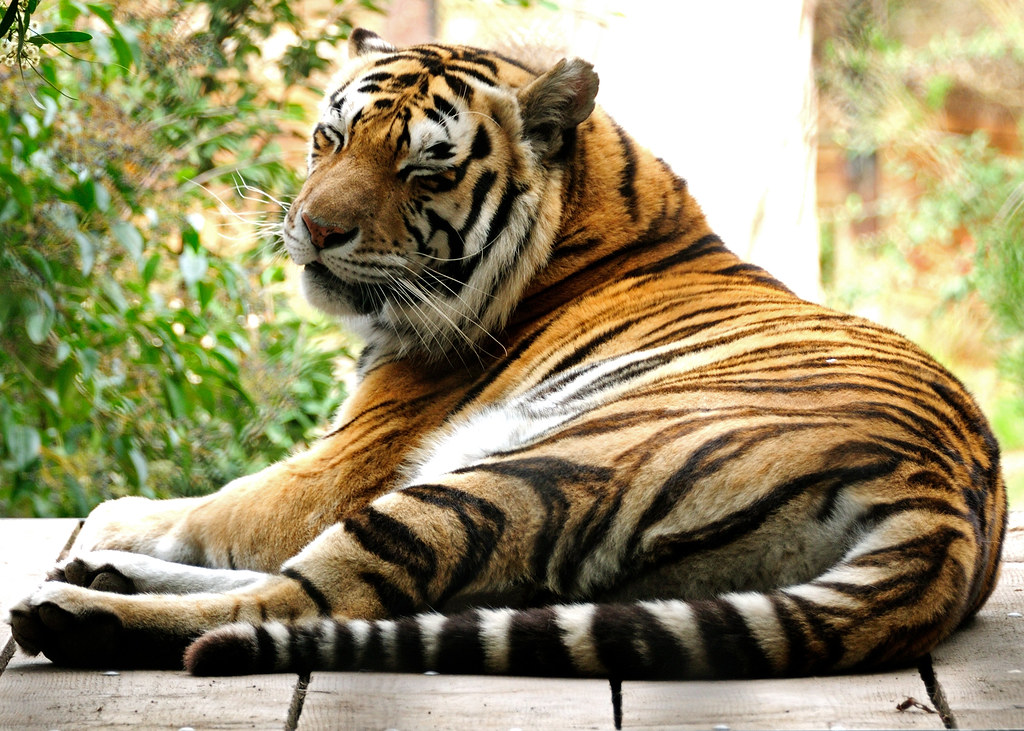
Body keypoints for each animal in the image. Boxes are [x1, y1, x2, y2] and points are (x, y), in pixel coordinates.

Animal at [10, 28, 1006, 681]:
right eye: (330, 137)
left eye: (425, 168)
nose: (315, 230)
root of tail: (945, 511)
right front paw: (103, 544)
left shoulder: (338, 465)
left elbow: (204, 507)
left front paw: (107, 524)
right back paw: (96, 581)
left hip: (517, 475)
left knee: (303, 600)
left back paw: (77, 609)